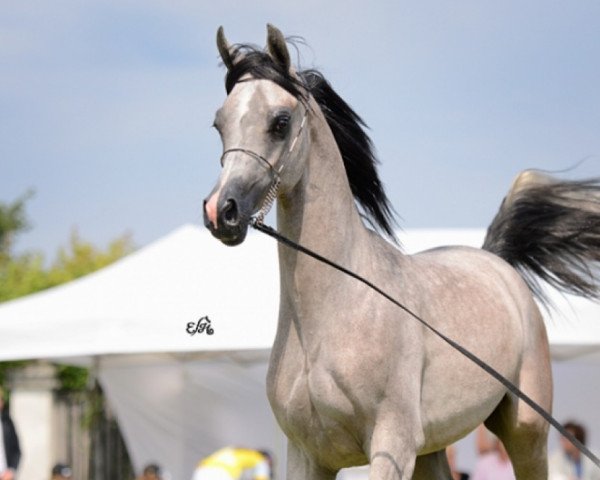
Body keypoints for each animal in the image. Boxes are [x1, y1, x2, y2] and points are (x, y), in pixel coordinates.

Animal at [204, 26, 600, 480]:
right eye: (219, 123)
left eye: (280, 122)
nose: (222, 212)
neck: (334, 313)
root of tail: (498, 263)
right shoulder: (307, 455)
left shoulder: (391, 446)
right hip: (433, 447)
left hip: (526, 432)